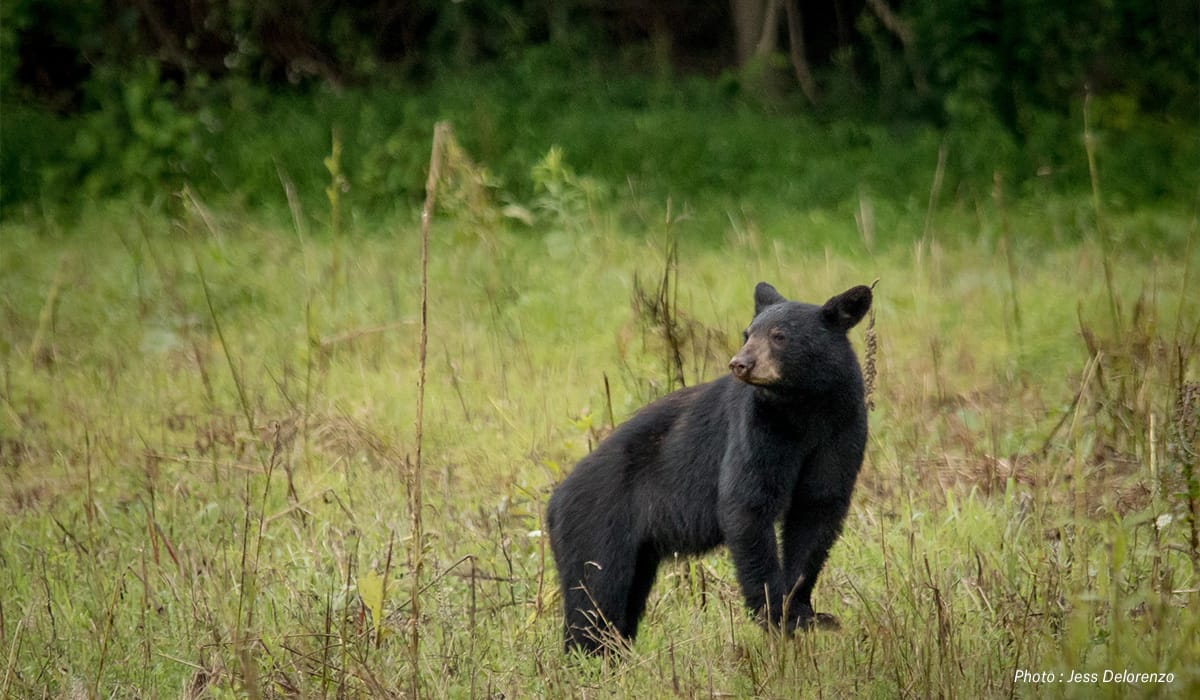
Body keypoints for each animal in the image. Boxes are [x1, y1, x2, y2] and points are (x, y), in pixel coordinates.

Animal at [547, 282, 873, 653]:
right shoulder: (757, 427)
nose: (740, 363)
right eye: (747, 333)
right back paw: (588, 653)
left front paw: (806, 611)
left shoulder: (842, 428)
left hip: (636, 550)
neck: (804, 406)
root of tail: (554, 500)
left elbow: (818, 508)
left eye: (779, 336)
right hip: (597, 525)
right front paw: (776, 614)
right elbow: (747, 504)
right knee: (594, 592)